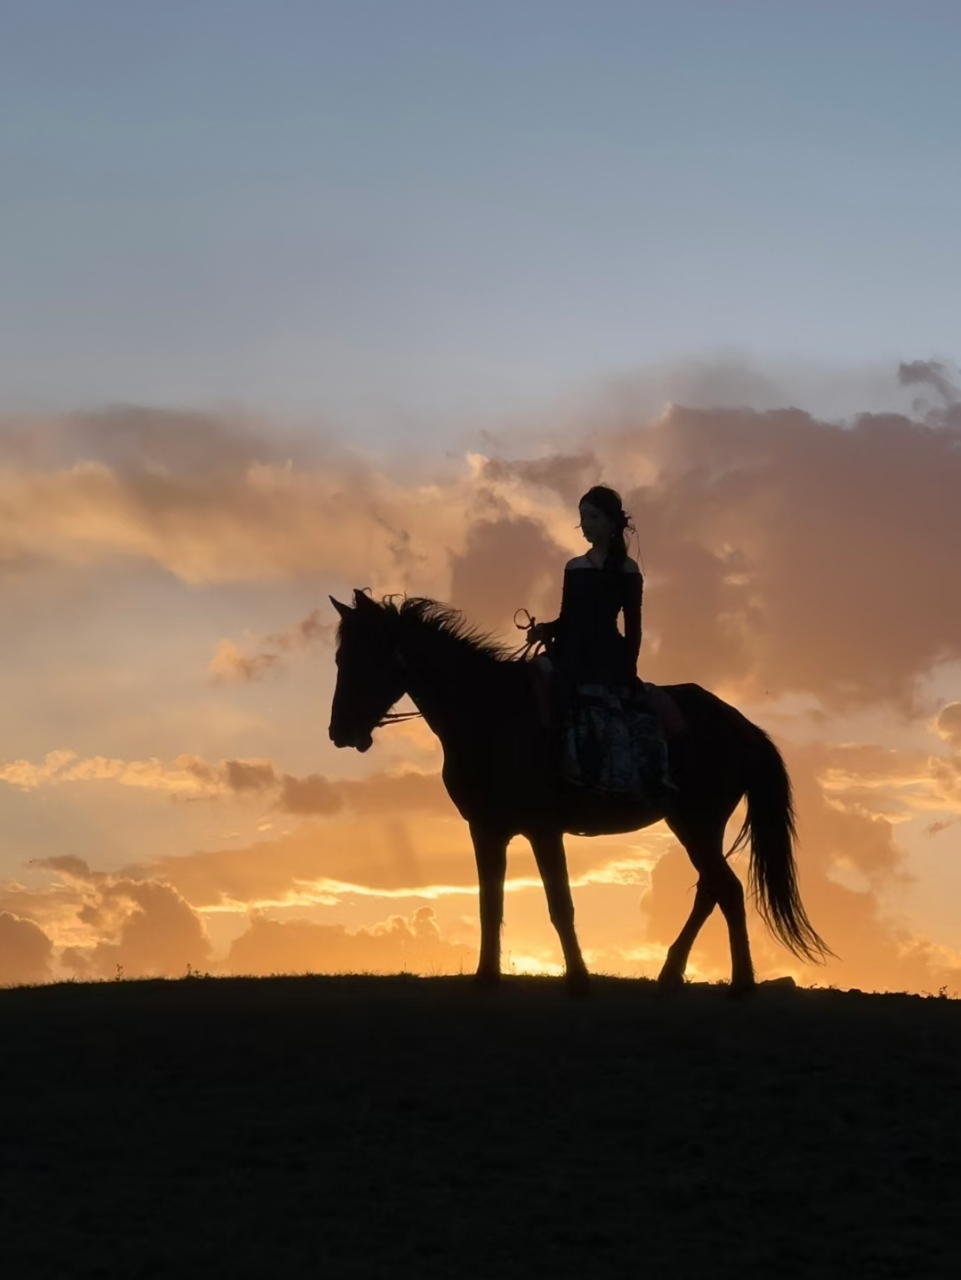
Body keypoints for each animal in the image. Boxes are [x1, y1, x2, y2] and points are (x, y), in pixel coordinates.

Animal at [330, 586, 829, 993]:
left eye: (367, 657)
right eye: (340, 660)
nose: (339, 732)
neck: (492, 712)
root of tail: (740, 725)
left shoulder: (543, 829)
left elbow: (560, 904)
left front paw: (578, 980)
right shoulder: (486, 829)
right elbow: (490, 903)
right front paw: (486, 978)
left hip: (698, 822)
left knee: (726, 889)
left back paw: (740, 984)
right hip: (691, 824)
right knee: (711, 890)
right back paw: (673, 975)